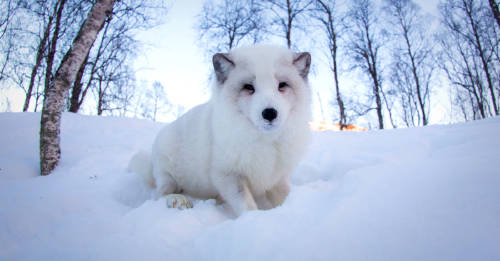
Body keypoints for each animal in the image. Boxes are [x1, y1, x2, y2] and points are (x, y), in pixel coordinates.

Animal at [127, 44, 310, 215]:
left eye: (282, 85)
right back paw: (177, 199)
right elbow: (246, 205)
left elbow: (284, 194)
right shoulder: (227, 175)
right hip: (167, 173)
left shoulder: (276, 177)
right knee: (159, 194)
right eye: (249, 87)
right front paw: (253, 219)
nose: (270, 113)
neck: (265, 141)